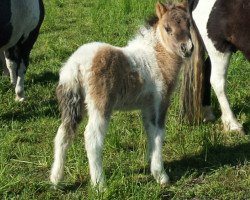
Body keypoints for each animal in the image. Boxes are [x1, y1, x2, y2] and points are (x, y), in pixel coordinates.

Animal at [49, 1, 192, 190]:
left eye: (189, 24)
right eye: (167, 28)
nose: (187, 49)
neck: (157, 58)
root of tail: (76, 64)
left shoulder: (147, 106)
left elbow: (150, 131)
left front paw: (150, 163)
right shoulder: (160, 102)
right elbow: (159, 134)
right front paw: (161, 176)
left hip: (72, 103)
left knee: (63, 134)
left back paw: (56, 179)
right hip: (100, 106)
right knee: (92, 138)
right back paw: (99, 184)